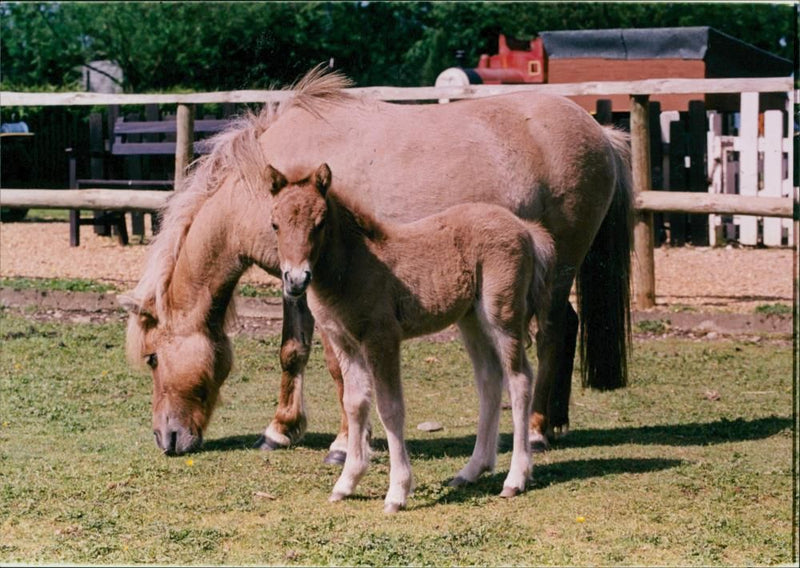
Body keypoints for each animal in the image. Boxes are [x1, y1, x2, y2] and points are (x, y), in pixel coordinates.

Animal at [122, 66, 632, 460]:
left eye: (152, 358)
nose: (166, 439)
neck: (266, 183)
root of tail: (601, 133)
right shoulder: (294, 282)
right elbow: (293, 351)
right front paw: (281, 429)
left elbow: (338, 367)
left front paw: (344, 444)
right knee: (568, 324)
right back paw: (558, 421)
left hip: (559, 264)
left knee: (551, 331)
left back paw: (539, 430)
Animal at [268, 162, 556, 512]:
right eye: (275, 224)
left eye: (320, 223)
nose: (296, 280)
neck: (354, 267)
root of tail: (525, 228)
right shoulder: (344, 343)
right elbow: (354, 404)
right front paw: (346, 483)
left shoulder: (382, 338)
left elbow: (390, 407)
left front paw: (397, 492)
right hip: (471, 319)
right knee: (489, 379)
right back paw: (471, 471)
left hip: (502, 315)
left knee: (519, 379)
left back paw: (515, 479)